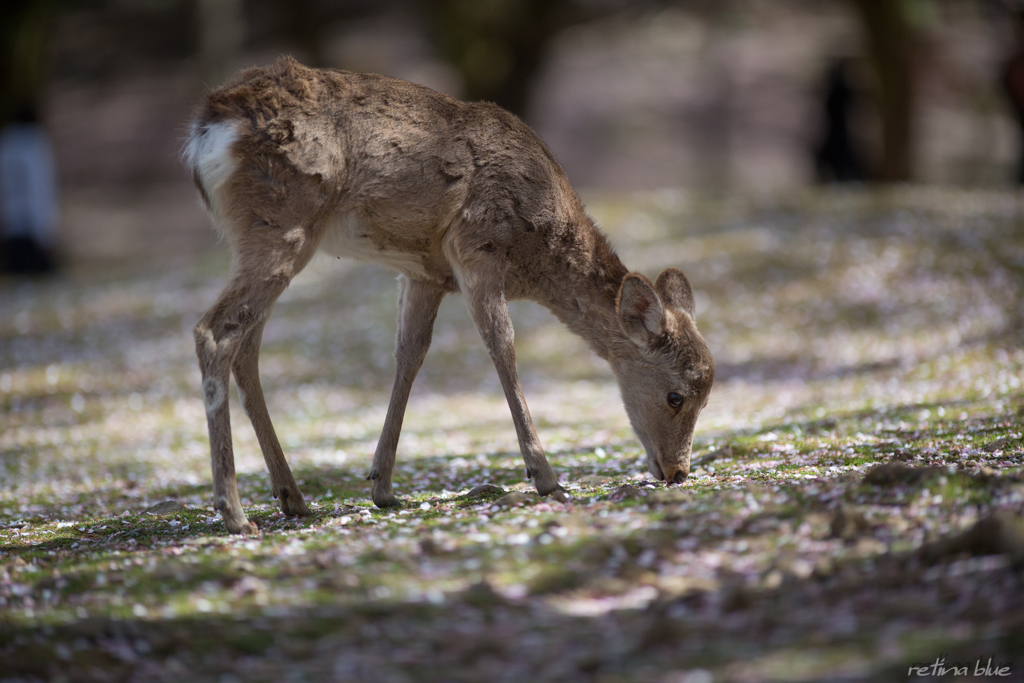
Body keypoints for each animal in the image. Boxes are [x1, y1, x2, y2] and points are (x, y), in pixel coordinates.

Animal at [184, 57, 712, 532]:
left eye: (707, 398)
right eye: (676, 396)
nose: (677, 472)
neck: (536, 251)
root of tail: (207, 127)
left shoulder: (426, 274)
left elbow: (410, 355)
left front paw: (382, 486)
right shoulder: (478, 247)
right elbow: (502, 346)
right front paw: (545, 477)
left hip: (260, 236)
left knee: (246, 347)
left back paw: (291, 497)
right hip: (282, 222)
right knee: (214, 331)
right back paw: (234, 513)